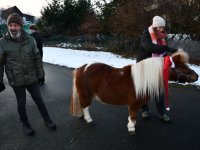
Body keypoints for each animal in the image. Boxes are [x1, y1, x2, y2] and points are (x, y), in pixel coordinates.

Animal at [69, 49, 198, 135]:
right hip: (86, 95)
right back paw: (88, 119)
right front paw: (131, 128)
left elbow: (132, 115)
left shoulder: (133, 104)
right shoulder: (134, 104)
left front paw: (132, 124)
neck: (145, 77)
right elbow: (133, 115)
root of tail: (81, 68)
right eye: (182, 67)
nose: (196, 76)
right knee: (85, 107)